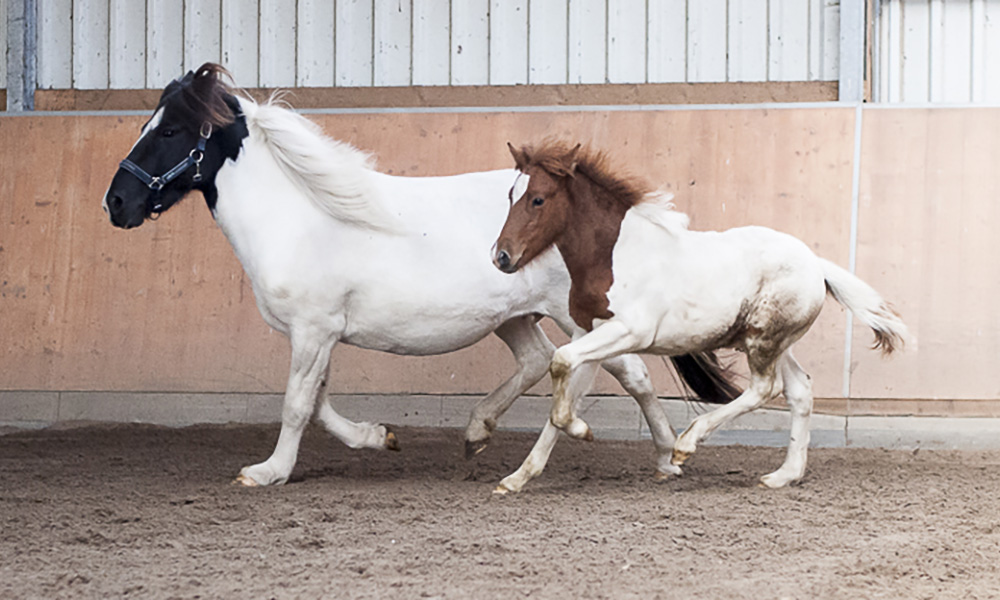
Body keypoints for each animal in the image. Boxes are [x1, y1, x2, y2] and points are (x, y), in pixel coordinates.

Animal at [105, 64, 740, 488]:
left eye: (170, 131)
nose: (117, 203)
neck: (299, 218)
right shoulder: (320, 334)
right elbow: (317, 400)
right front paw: (377, 437)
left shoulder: (312, 330)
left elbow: (296, 403)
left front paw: (268, 471)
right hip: (512, 317)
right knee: (540, 361)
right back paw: (481, 432)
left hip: (576, 315)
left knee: (629, 372)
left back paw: (665, 456)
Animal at [488, 139, 912, 492]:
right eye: (510, 195)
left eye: (538, 199)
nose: (501, 257)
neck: (613, 256)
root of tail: (816, 264)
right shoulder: (587, 333)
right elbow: (562, 396)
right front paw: (517, 478)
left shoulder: (629, 331)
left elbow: (559, 364)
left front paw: (583, 431)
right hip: (777, 342)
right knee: (800, 390)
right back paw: (782, 475)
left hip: (762, 339)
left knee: (764, 389)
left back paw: (686, 444)